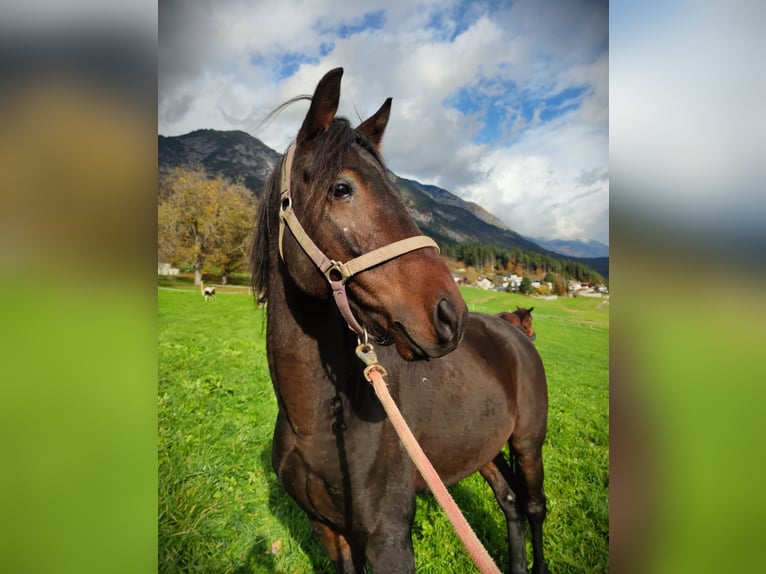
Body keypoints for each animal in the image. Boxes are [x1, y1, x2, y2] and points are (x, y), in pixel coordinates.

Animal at [250, 68, 550, 574]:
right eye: (342, 188)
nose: (450, 315)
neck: (316, 424)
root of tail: (514, 335)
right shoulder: (329, 533)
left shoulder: (389, 539)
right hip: (484, 449)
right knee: (509, 502)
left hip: (529, 444)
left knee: (532, 508)